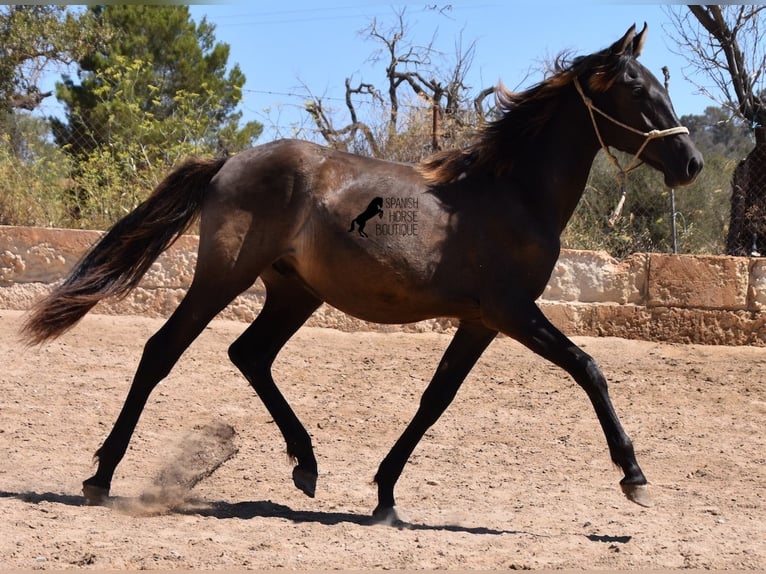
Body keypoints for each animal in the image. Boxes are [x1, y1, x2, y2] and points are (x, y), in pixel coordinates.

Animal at [21, 24, 704, 524]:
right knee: (162, 351)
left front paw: (385, 495)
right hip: (223, 277)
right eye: (637, 90)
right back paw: (100, 477)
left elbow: (436, 399)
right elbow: (589, 368)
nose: (691, 162)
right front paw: (635, 477)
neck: (513, 192)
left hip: (293, 292)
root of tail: (227, 161)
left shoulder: (481, 321)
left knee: (250, 354)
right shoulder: (513, 312)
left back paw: (306, 464)